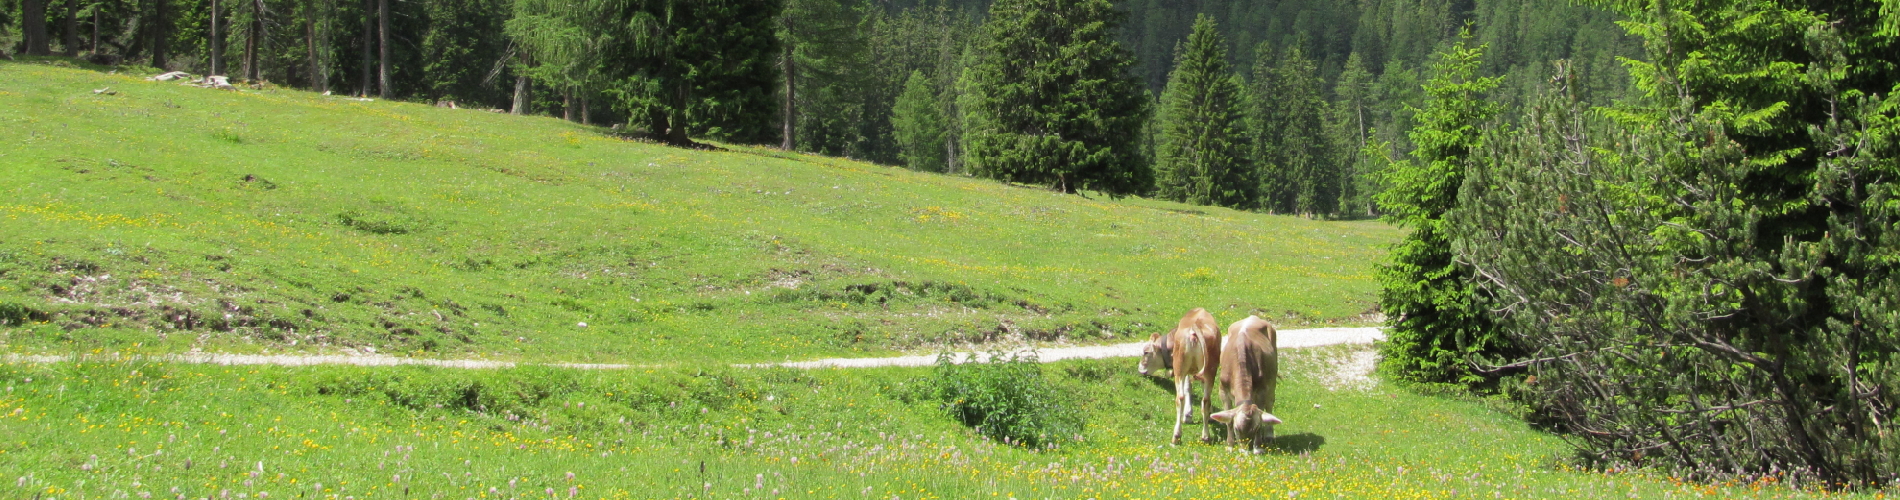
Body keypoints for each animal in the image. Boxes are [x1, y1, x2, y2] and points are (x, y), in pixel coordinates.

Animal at [1132, 309, 1223, 446]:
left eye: (1145, 352)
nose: (1139, 369)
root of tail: (1195, 327)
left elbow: (1187, 388)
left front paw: (1188, 415)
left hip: (1180, 368)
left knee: (1180, 397)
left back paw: (1176, 436)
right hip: (1209, 370)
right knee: (1206, 400)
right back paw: (1206, 436)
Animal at [1208, 317, 1284, 454]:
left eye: (1256, 428)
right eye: (1237, 428)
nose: (1244, 451)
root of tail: (1253, 317)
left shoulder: (1262, 390)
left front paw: (1258, 447)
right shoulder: (1223, 390)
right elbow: (1227, 419)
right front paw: (1230, 445)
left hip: (1272, 380)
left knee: (1270, 404)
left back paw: (1269, 435)